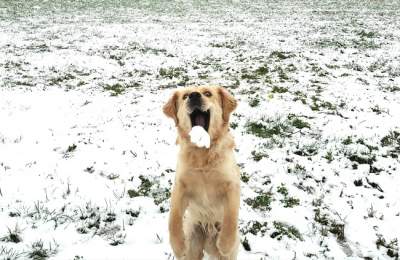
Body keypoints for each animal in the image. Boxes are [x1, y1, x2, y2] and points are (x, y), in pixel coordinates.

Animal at [162, 86, 241, 258]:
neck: (202, 153)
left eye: (208, 94)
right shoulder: (180, 186)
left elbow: (231, 217)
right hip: (194, 241)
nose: (194, 95)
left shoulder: (232, 185)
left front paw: (225, 243)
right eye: (185, 96)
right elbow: (174, 218)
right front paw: (178, 246)